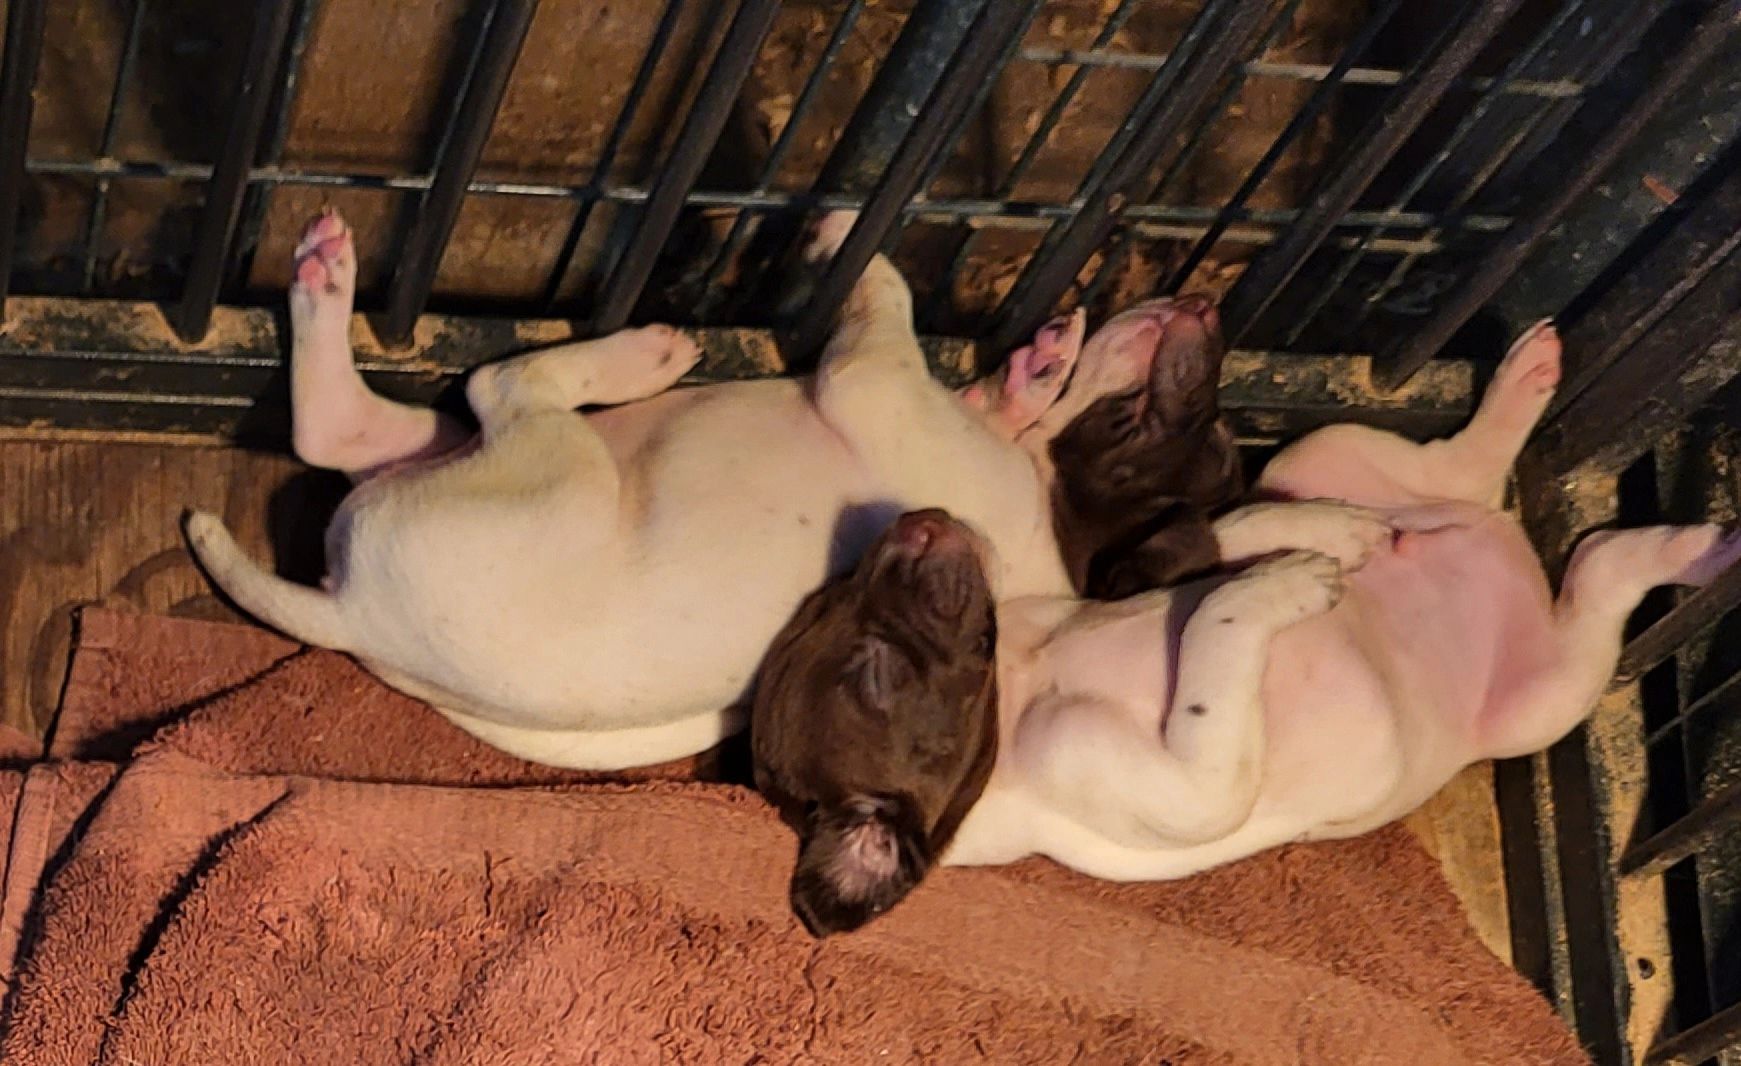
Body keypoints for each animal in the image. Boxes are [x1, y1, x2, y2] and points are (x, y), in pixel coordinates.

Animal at [183, 209, 1239, 771]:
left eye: (1139, 421)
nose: (1199, 302)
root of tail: (355, 614)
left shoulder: (875, 379)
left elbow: (885, 293)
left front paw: (845, 230)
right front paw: (1037, 366)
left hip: (548, 468)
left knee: (495, 387)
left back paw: (633, 355)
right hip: (450, 456)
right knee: (350, 429)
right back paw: (329, 281)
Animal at [751, 320, 1741, 933]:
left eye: (833, 593)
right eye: (870, 672)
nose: (916, 520)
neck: (1024, 684)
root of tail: (1504, 541)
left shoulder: (1108, 575)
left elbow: (1217, 541)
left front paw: (1322, 538)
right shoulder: (1196, 782)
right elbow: (1219, 627)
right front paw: (1289, 583)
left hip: (1326, 448)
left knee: (1457, 467)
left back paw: (1517, 408)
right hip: (1542, 702)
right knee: (1594, 582)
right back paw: (1691, 548)